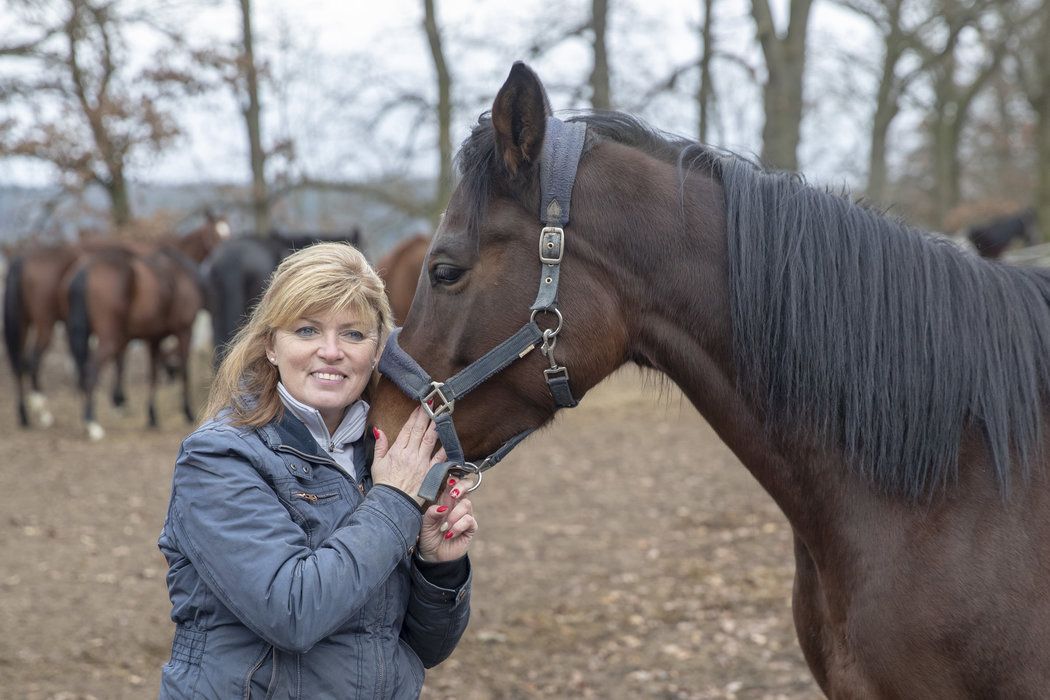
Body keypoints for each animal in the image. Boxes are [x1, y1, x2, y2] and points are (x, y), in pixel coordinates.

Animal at [4, 215, 226, 432]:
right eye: (214, 234)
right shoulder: (182, 329)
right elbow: (182, 371)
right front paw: (185, 411)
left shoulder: (149, 336)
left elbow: (144, 370)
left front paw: (143, 412)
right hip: (56, 325)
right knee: (55, 364)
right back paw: (74, 419)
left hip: (30, 324)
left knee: (22, 363)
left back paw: (26, 414)